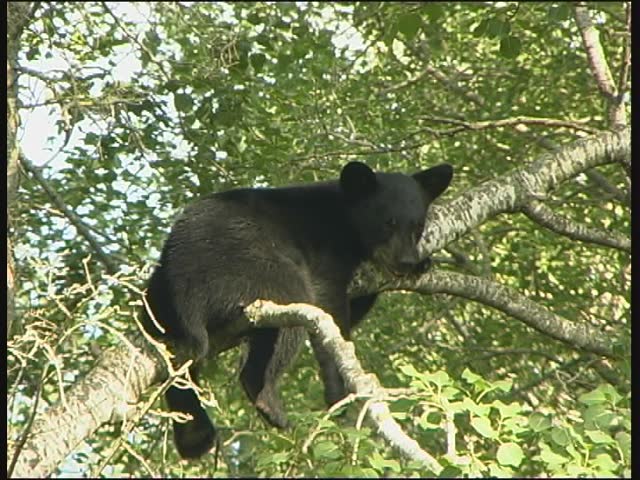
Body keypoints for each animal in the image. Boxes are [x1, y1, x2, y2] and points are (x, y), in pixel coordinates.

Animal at [141, 161, 453, 459]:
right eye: (389, 222)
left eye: (417, 226)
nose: (405, 260)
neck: (343, 217)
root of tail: (183, 278)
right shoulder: (326, 251)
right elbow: (331, 310)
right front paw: (337, 392)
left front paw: (422, 263)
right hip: (253, 268)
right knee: (290, 316)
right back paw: (270, 404)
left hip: (159, 295)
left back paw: (194, 434)